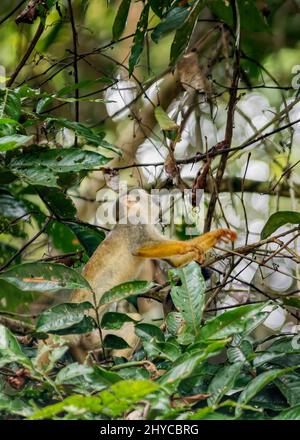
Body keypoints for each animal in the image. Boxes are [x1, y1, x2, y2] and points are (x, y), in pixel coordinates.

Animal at [37, 191, 236, 366]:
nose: (156, 199)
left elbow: (175, 260)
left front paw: (216, 236)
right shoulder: (136, 225)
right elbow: (142, 247)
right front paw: (188, 247)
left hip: (91, 337)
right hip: (88, 328)